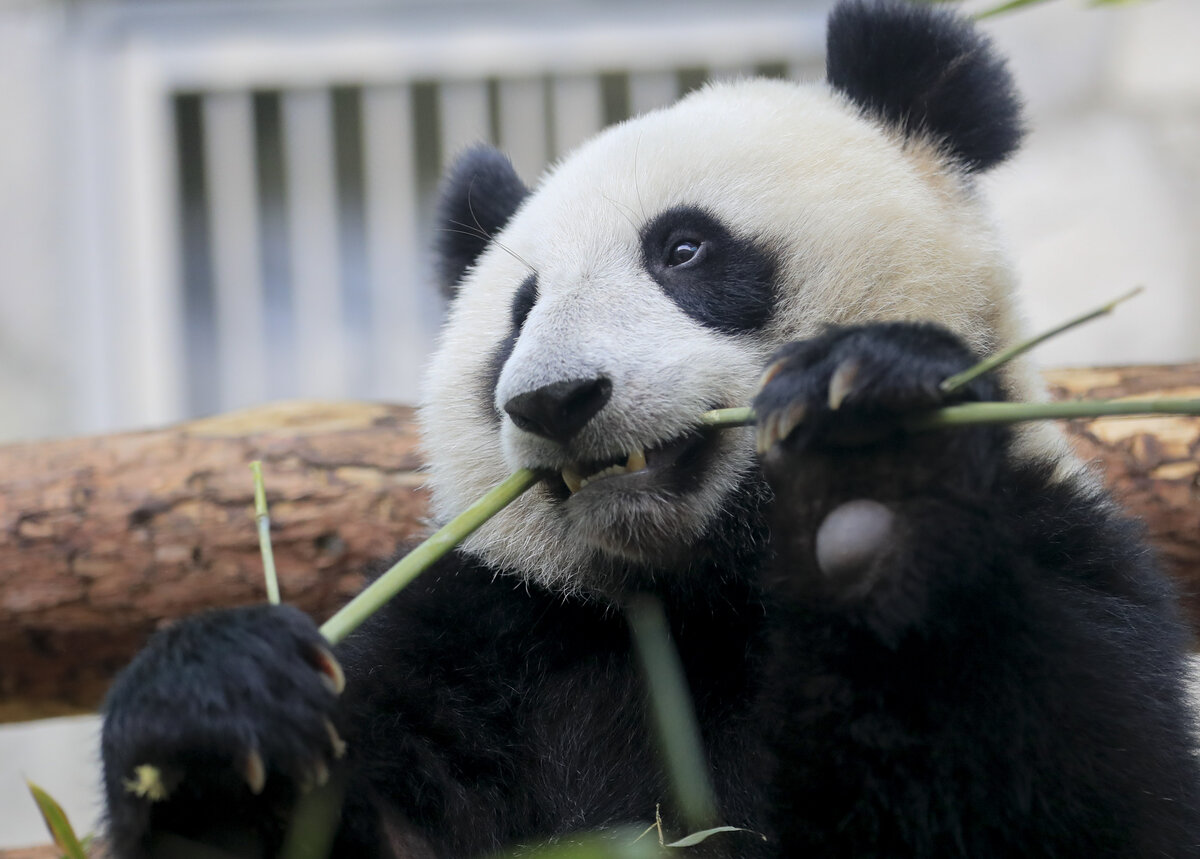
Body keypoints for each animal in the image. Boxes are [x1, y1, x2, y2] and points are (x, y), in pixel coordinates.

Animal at [100, 1, 1200, 858]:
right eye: (519, 311)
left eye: (684, 248)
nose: (554, 399)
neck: (695, 590)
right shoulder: (494, 632)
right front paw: (210, 713)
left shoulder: (1067, 552)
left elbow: (1072, 794)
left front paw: (869, 469)